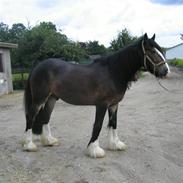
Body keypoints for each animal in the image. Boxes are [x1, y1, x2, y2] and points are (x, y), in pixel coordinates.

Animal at [22, 33, 169, 158]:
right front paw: (94, 150)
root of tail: (37, 67)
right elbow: (98, 125)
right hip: (39, 99)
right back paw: (29, 145)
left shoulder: (114, 104)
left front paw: (115, 144)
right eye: (152, 51)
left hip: (51, 99)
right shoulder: (102, 105)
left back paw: (49, 141)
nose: (166, 71)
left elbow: (114, 123)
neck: (113, 72)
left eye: (160, 50)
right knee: (30, 117)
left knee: (45, 118)